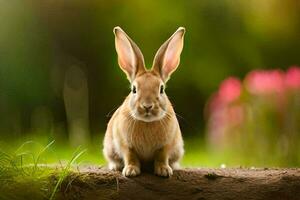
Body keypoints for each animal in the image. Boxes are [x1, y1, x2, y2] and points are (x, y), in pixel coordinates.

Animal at [103, 26, 185, 177]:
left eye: (161, 89)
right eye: (134, 89)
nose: (147, 106)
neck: (147, 123)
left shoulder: (166, 145)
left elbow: (161, 157)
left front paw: (164, 171)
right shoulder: (125, 145)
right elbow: (130, 156)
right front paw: (130, 171)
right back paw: (115, 167)